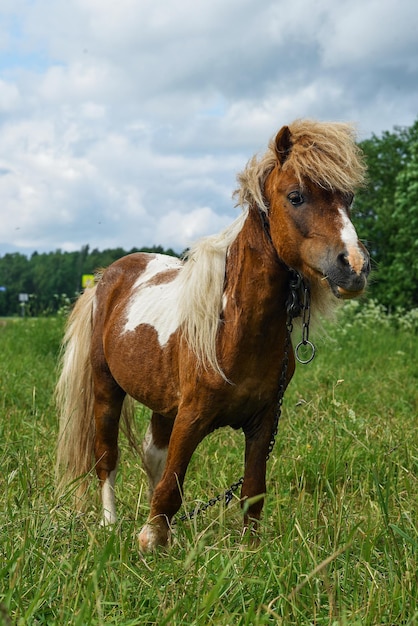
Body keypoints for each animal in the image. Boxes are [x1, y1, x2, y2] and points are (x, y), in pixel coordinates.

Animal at [54, 119, 370, 548]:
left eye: (347, 197)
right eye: (296, 196)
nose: (353, 266)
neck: (233, 328)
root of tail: (107, 277)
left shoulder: (263, 422)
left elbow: (251, 491)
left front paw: (248, 551)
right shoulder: (192, 416)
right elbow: (171, 485)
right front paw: (150, 542)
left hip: (162, 403)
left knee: (153, 456)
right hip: (107, 389)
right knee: (108, 457)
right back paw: (110, 524)